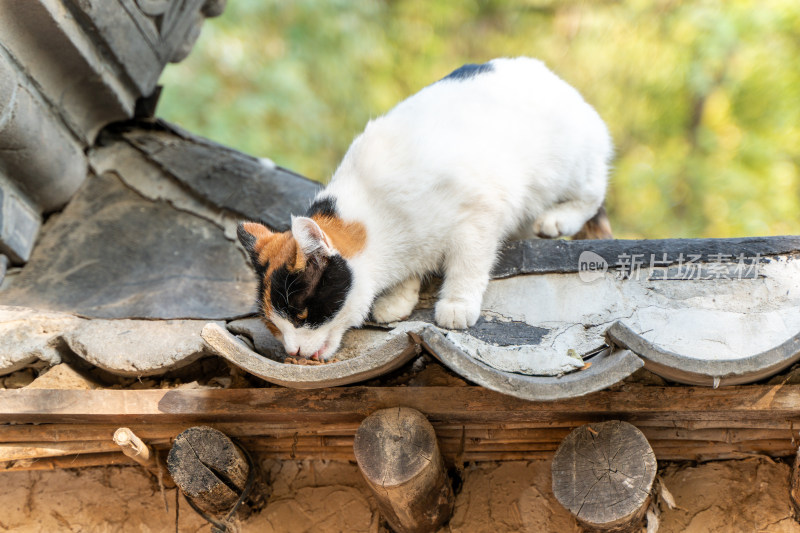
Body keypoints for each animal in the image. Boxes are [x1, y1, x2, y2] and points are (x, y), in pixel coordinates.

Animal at [238, 56, 612, 360]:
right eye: (275, 326)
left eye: (302, 315)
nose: (292, 350)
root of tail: (551, 76)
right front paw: (398, 299)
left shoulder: (480, 213)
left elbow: (469, 262)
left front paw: (457, 304)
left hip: (567, 166)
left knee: (594, 191)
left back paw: (558, 219)